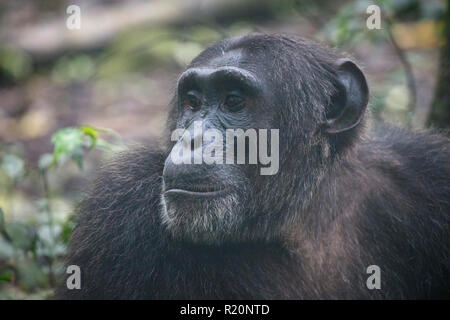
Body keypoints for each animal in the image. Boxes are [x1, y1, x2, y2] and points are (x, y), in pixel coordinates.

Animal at [57, 33, 450, 298]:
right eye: (193, 102)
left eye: (234, 100)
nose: (192, 139)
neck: (301, 221)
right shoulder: (118, 214)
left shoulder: (429, 172)